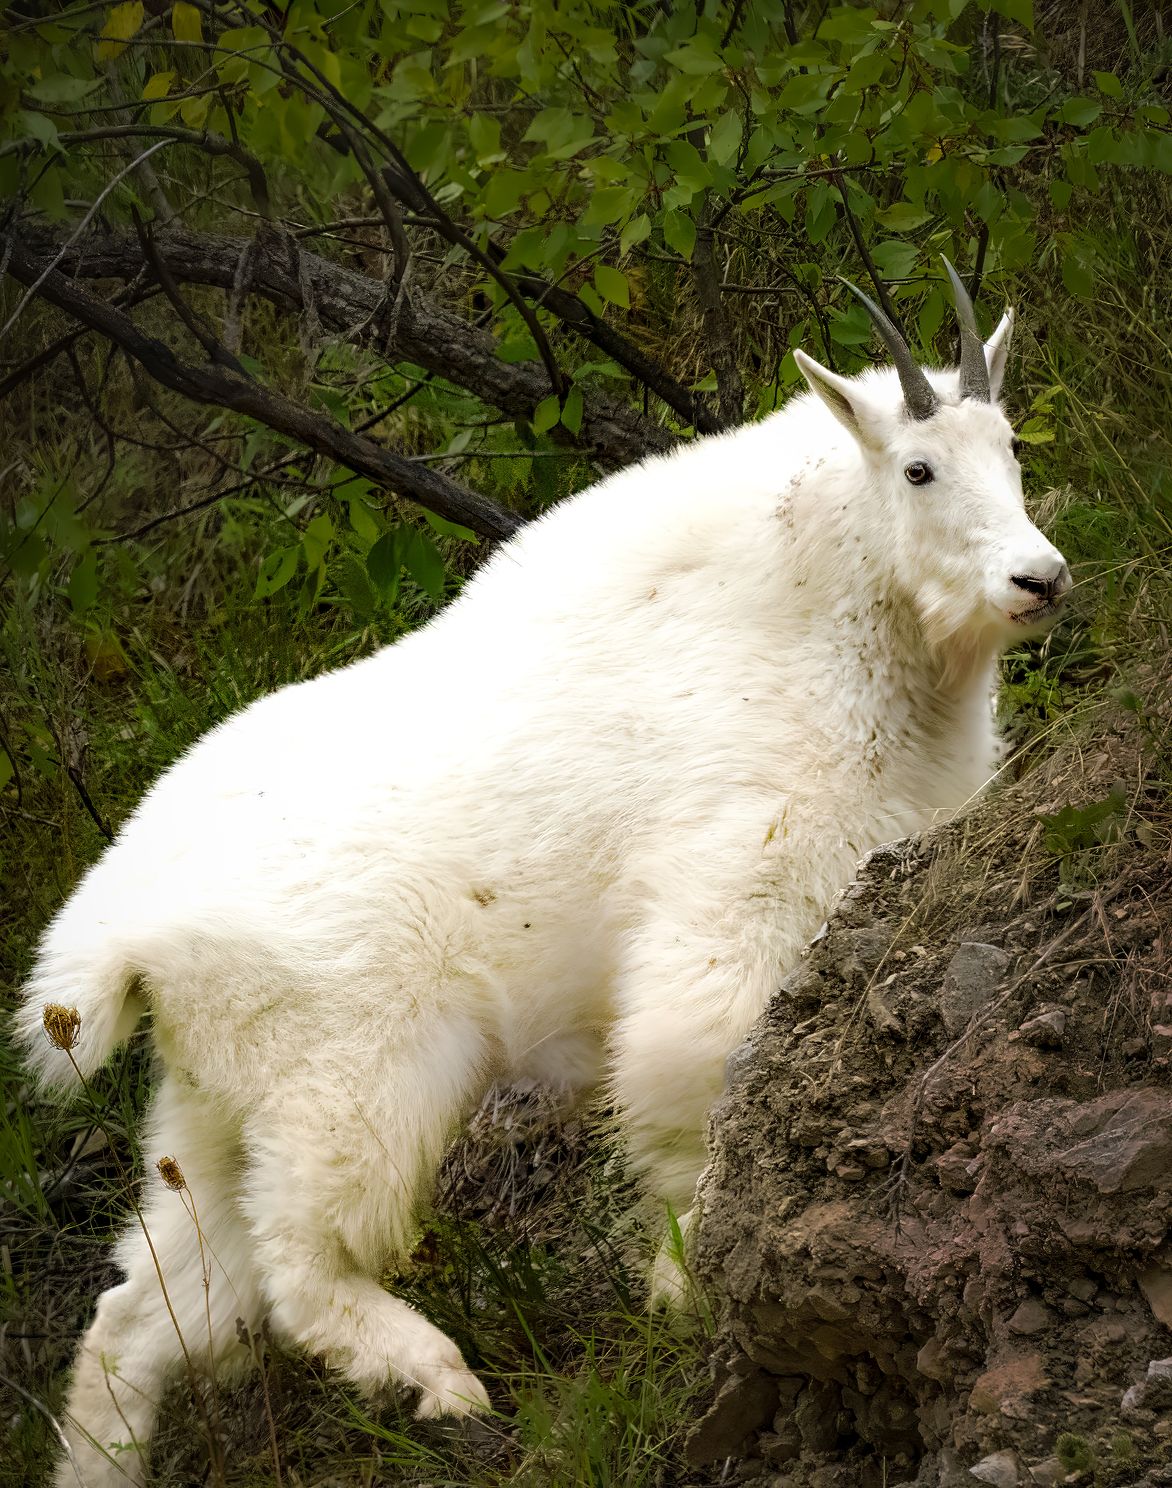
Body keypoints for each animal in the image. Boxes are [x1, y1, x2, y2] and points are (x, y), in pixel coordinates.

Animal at [16, 264, 1069, 1486]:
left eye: (1008, 444)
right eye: (917, 467)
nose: (1038, 579)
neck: (826, 615)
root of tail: (110, 935)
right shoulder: (732, 891)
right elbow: (690, 1087)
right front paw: (679, 1287)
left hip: (212, 1105)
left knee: (141, 1317)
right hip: (355, 1077)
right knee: (296, 1264)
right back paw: (440, 1380)